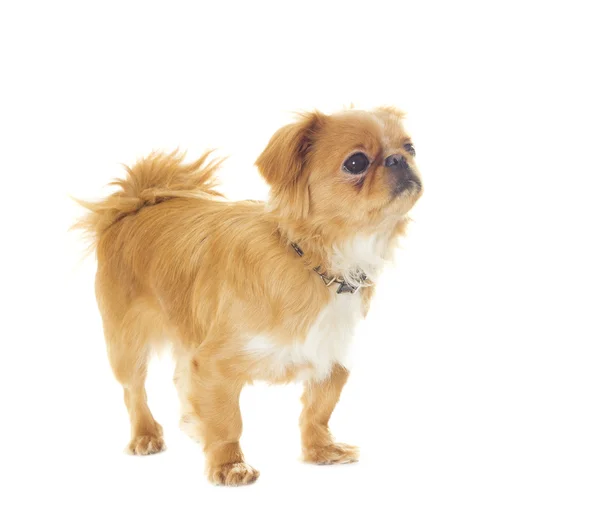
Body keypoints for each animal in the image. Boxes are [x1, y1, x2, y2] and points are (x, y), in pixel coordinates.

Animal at [75, 107, 422, 486]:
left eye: (410, 147)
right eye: (356, 162)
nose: (398, 159)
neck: (314, 262)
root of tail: (135, 203)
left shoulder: (331, 357)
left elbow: (318, 411)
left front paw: (321, 451)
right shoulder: (214, 362)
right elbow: (229, 421)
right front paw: (230, 466)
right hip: (127, 343)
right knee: (134, 390)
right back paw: (145, 434)